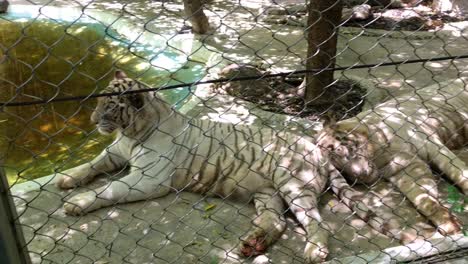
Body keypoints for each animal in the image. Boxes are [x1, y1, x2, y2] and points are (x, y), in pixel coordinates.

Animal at [55, 71, 370, 262]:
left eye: (109, 107)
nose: (93, 120)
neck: (132, 133)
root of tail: (316, 147)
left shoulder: (147, 180)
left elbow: (109, 188)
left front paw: (76, 202)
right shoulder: (115, 152)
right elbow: (92, 164)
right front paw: (66, 176)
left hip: (294, 185)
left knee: (316, 221)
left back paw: (315, 251)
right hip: (267, 193)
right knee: (276, 221)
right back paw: (252, 244)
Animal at [314, 79, 468, 237]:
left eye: (341, 150)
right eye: (337, 166)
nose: (358, 176)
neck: (378, 153)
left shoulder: (432, 146)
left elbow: (460, 173)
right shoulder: (405, 169)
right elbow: (422, 198)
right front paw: (448, 224)